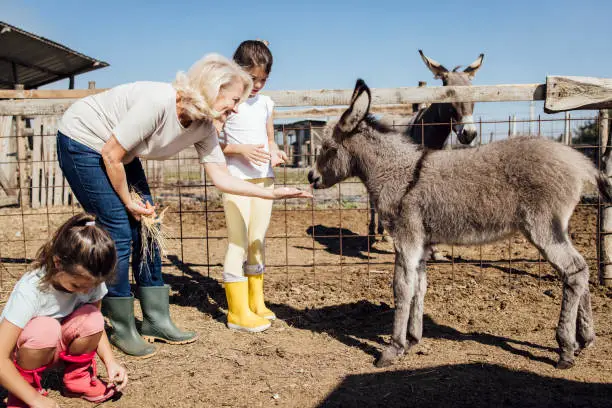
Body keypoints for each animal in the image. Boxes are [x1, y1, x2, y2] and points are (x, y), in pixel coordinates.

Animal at [310, 79, 608, 370]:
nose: (311, 178)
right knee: (582, 269)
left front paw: (393, 348)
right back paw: (586, 339)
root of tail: (579, 160)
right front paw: (413, 339)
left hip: (543, 227)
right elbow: (419, 286)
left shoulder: (406, 239)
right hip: (556, 228)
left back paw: (566, 349)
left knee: (573, 271)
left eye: (328, 149)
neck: (400, 173)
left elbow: (401, 288)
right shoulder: (422, 243)